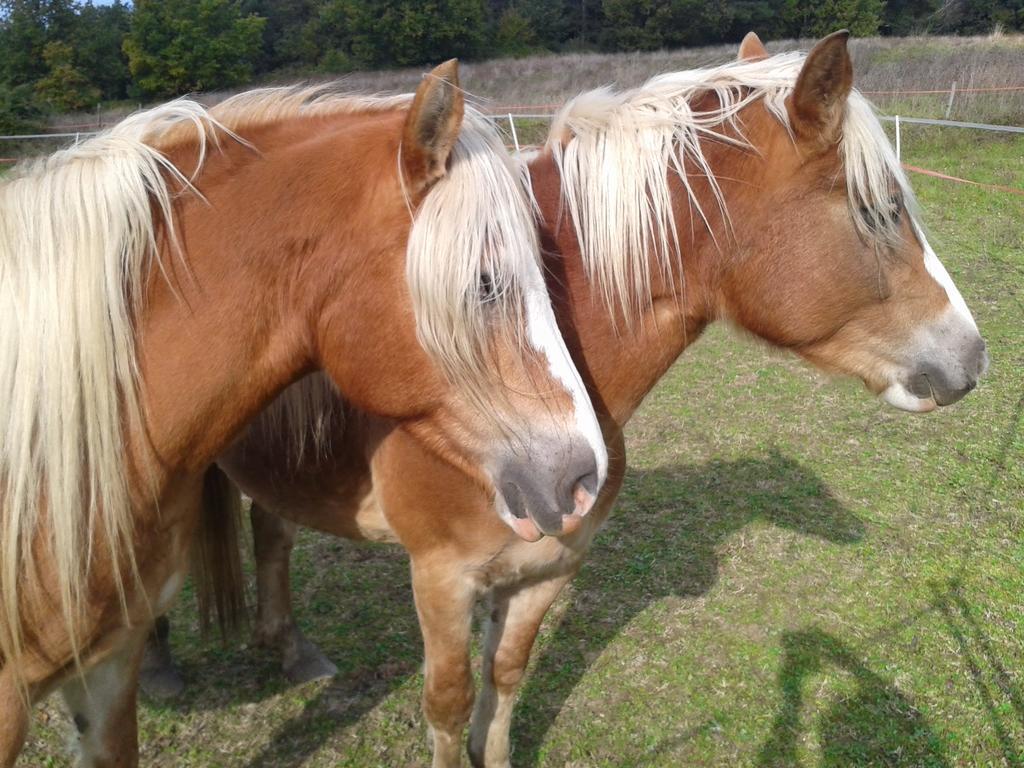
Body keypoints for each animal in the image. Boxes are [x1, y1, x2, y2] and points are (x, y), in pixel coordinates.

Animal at [149, 31, 983, 768]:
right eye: (877, 209)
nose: (973, 357)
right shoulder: (441, 580)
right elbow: (448, 704)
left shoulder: (547, 571)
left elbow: (504, 682)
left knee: (271, 533)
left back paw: (289, 648)